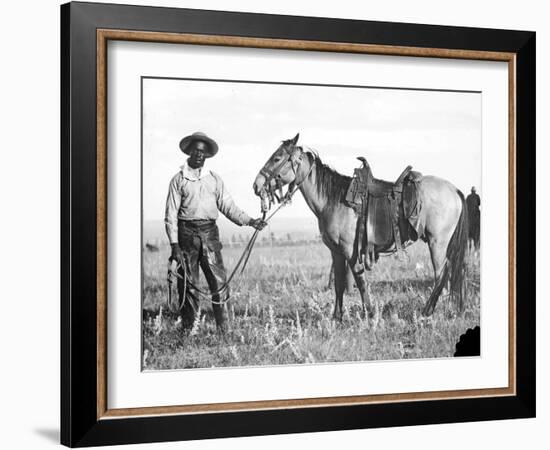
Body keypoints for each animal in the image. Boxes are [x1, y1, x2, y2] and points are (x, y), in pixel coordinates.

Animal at [254, 133, 470, 320]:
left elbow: (360, 281)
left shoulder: (351, 251)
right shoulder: (336, 251)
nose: (256, 185)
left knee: (441, 274)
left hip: (437, 242)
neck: (332, 199)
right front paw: (337, 317)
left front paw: (369, 314)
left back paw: (427, 311)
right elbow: (339, 283)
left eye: (277, 158)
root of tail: (455, 190)